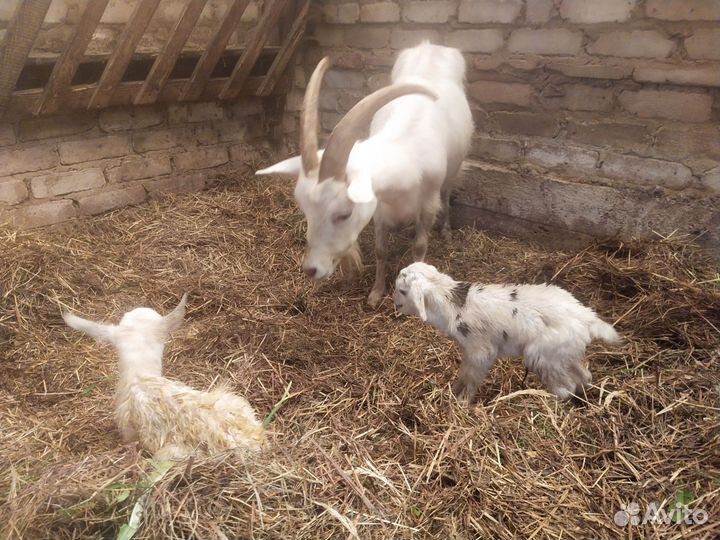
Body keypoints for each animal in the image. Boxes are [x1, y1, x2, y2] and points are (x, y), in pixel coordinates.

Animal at [256, 42, 474, 307]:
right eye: (305, 210)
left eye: (344, 214)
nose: (311, 269)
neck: (404, 151)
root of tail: (431, 45)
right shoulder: (380, 207)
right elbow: (381, 251)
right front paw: (375, 294)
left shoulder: (428, 204)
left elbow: (419, 249)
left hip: (453, 168)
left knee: (448, 191)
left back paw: (446, 230)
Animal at [393, 263, 622, 403]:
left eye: (402, 291)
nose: (394, 303)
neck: (453, 304)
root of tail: (587, 317)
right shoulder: (469, 352)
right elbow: (464, 372)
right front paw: (456, 390)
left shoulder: (480, 350)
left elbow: (471, 376)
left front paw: (462, 401)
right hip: (565, 353)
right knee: (584, 376)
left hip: (543, 355)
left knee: (567, 387)